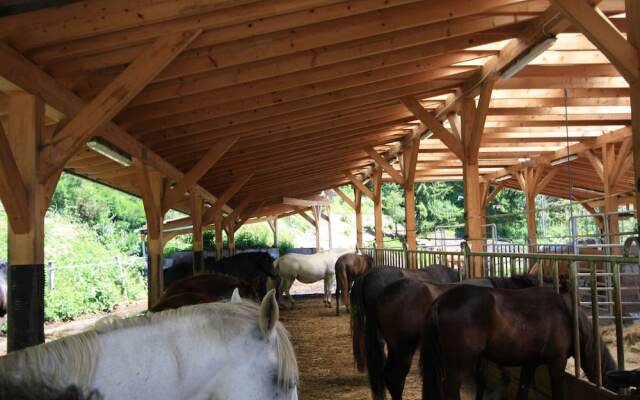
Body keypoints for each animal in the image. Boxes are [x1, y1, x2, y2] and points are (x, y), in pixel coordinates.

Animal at [368, 276, 544, 400]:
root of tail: (382, 295)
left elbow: (482, 377)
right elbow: (486, 377)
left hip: (395, 347)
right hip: (403, 349)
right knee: (394, 378)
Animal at [418, 284, 616, 400]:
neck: (567, 316)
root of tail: (441, 301)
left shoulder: (529, 364)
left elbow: (522, 392)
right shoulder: (556, 363)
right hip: (459, 367)